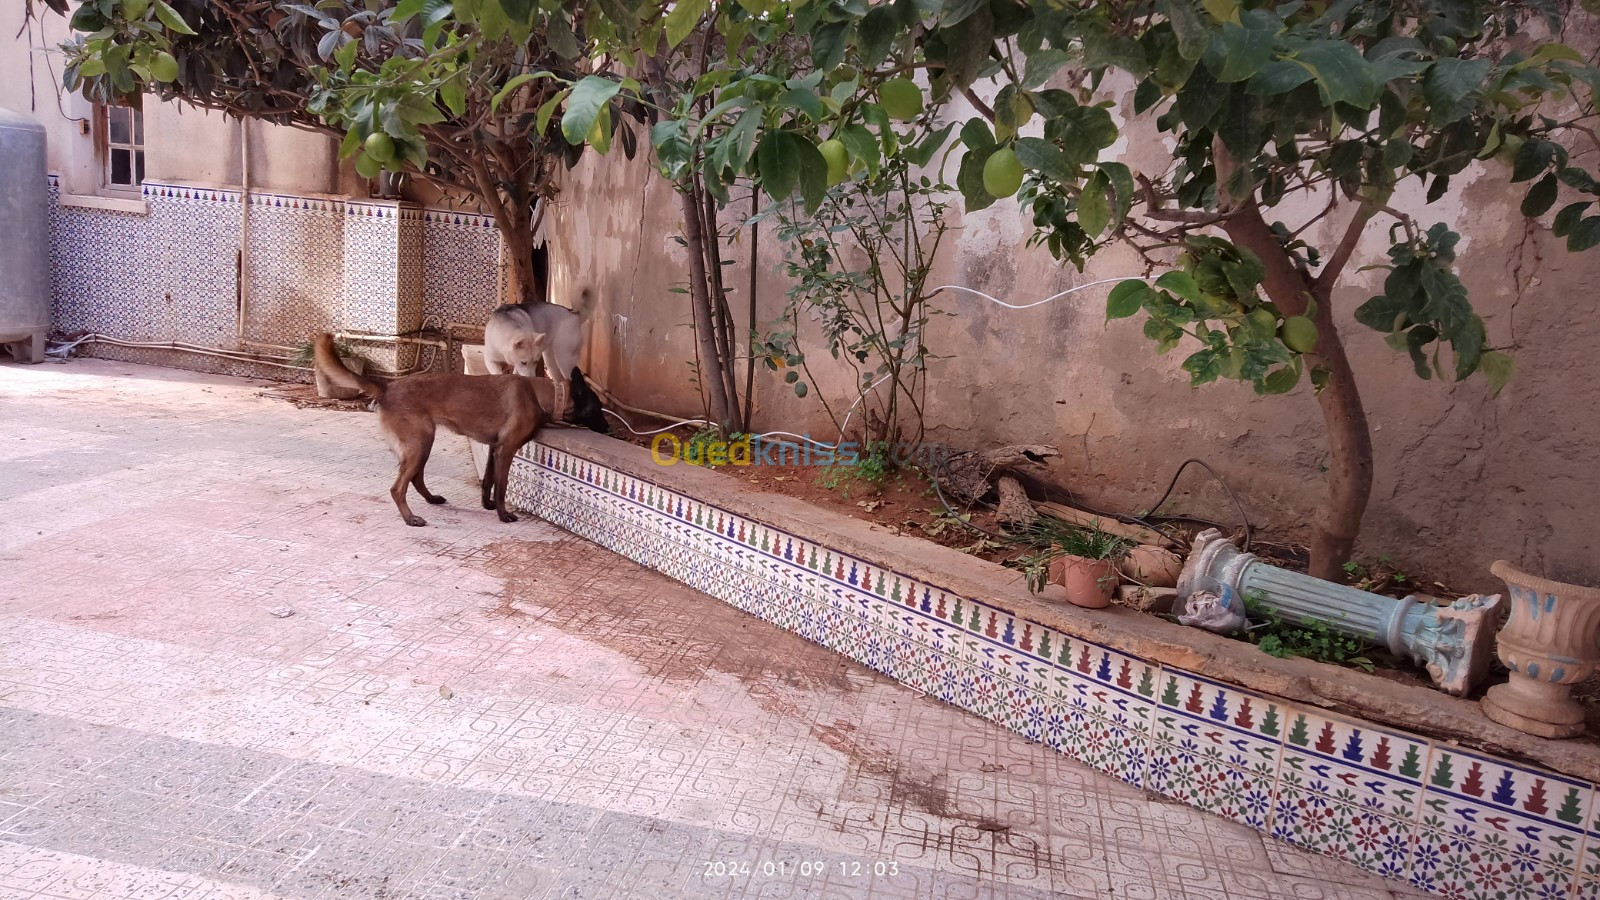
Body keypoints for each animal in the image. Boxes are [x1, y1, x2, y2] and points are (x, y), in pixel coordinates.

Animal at [312, 331, 550, 525]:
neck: (536, 393)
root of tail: (387, 387)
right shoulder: (505, 450)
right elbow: (501, 486)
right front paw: (503, 514)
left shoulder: (494, 449)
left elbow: (488, 481)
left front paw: (488, 505)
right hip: (420, 444)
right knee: (398, 488)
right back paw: (410, 518)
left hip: (421, 445)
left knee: (415, 479)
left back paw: (431, 499)